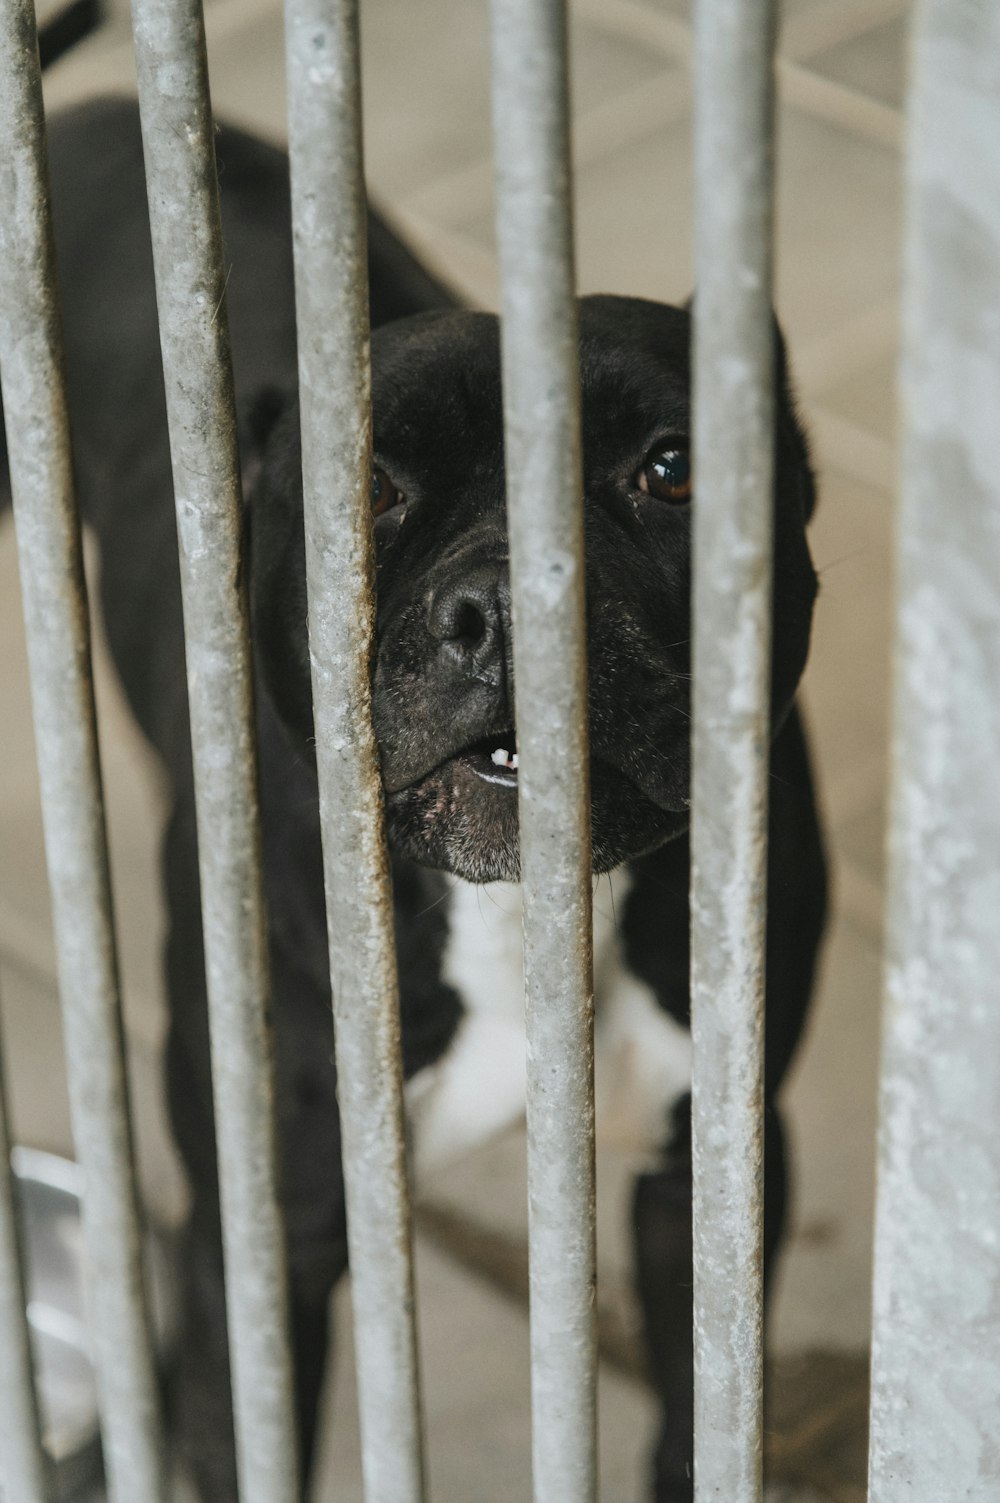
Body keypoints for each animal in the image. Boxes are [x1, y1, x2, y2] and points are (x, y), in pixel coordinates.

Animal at [0, 96, 824, 1503]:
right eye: (362, 491)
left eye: (674, 469)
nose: (507, 608)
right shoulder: (266, 1243)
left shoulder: (704, 1181)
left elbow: (690, 1418)